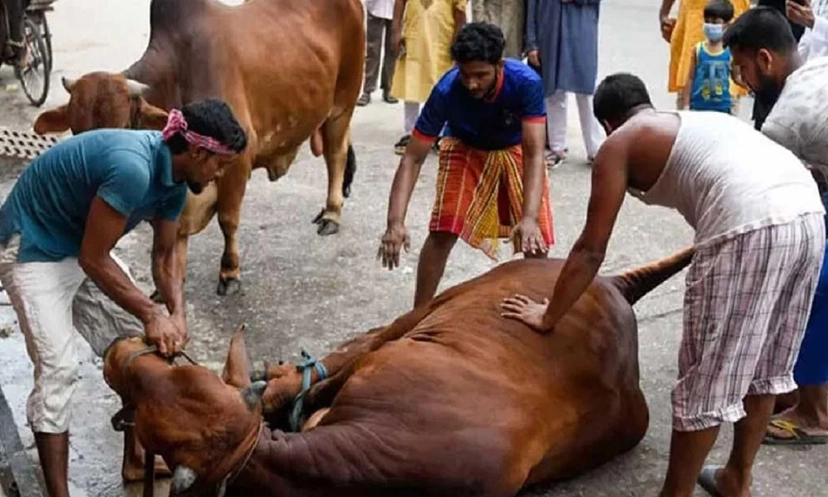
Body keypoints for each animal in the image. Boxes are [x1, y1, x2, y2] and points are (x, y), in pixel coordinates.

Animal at [33, 0, 362, 294]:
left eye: (123, 127)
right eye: (76, 130)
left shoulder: (237, 164)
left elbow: (228, 221)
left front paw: (229, 273)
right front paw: (169, 282)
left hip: (342, 104)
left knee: (336, 156)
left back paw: (332, 214)